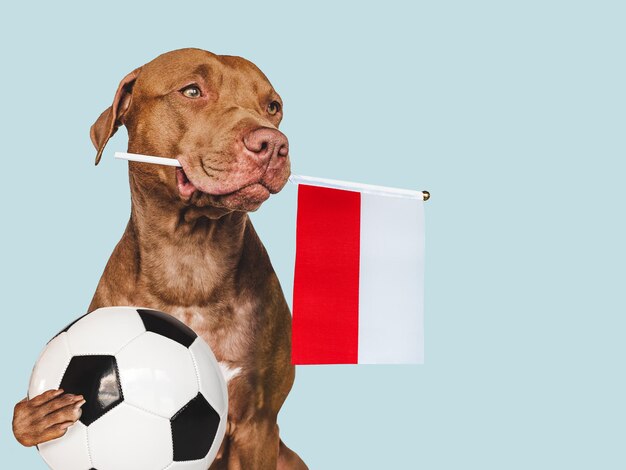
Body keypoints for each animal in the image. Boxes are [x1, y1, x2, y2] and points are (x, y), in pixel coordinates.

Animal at [11, 47, 308, 470]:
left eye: (273, 106)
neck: (190, 260)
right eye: (192, 90)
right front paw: (34, 416)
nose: (273, 143)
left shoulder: (258, 422)